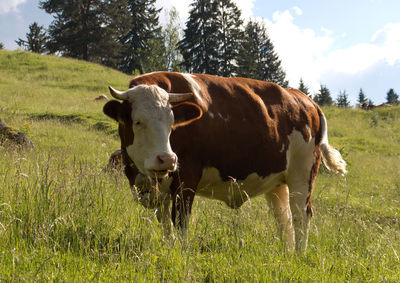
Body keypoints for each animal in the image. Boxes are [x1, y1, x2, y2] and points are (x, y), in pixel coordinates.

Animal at [104, 72, 346, 252]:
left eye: (172, 122)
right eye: (137, 121)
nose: (167, 159)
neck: (142, 176)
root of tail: (307, 100)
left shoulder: (186, 178)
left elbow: (180, 221)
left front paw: (180, 255)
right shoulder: (157, 188)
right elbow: (164, 223)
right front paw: (168, 250)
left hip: (302, 176)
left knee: (301, 216)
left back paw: (298, 255)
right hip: (277, 183)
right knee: (284, 218)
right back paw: (286, 254)